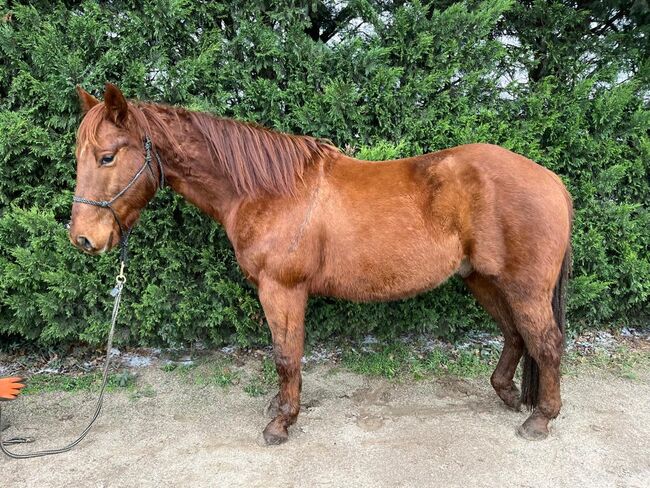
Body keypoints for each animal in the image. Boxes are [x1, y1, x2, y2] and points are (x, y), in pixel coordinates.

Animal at [68, 83, 568, 442]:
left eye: (107, 156)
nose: (83, 238)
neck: (268, 191)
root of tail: (552, 180)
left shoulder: (281, 289)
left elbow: (286, 356)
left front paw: (280, 424)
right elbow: (283, 356)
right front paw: (279, 409)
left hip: (524, 287)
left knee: (545, 342)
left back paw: (540, 420)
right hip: (482, 278)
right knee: (515, 333)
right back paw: (508, 395)